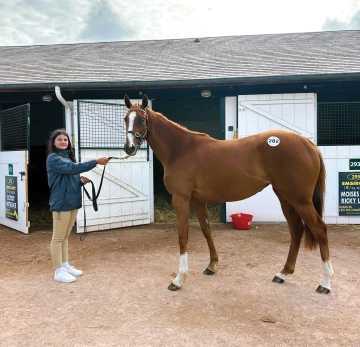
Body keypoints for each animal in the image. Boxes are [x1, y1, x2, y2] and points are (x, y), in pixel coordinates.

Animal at [124, 94, 334, 294]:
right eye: (126, 118)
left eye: (141, 119)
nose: (129, 148)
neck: (180, 149)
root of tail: (308, 144)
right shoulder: (198, 201)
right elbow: (206, 230)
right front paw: (211, 265)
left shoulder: (181, 199)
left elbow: (183, 235)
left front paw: (178, 279)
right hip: (286, 198)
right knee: (296, 230)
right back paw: (283, 274)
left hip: (300, 200)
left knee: (320, 230)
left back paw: (325, 283)